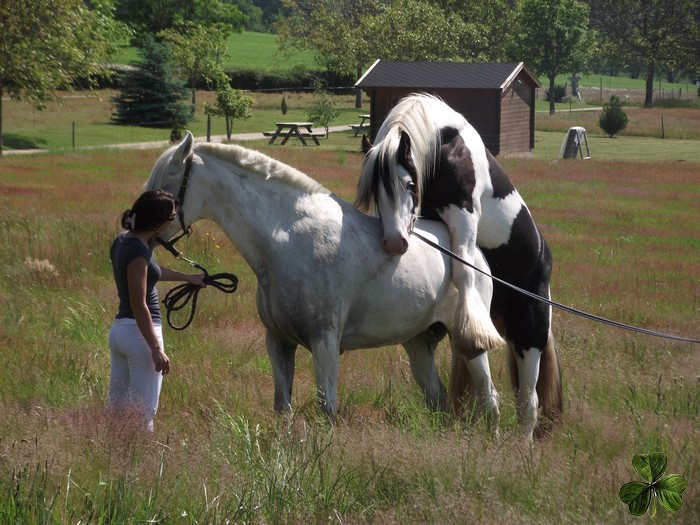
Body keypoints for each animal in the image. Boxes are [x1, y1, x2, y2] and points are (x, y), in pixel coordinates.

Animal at [146, 131, 504, 426]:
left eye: (166, 189)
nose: (143, 235)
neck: (288, 241)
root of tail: (472, 254)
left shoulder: (325, 342)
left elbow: (327, 409)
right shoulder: (278, 341)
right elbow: (283, 409)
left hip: (469, 344)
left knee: (490, 398)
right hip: (418, 343)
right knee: (437, 398)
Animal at [358, 93, 560, 438]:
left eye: (409, 184)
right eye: (375, 190)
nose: (395, 243)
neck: (445, 145)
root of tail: (543, 258)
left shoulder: (463, 218)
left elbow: (465, 268)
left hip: (529, 334)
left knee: (528, 402)